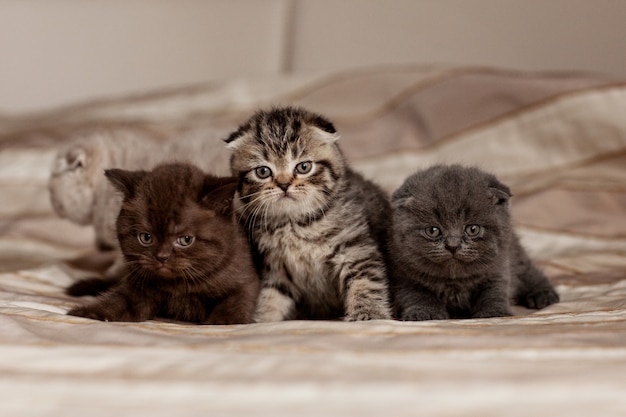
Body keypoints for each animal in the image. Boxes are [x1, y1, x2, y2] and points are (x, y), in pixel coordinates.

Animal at [66, 161, 256, 324]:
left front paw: (221, 321)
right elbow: (117, 302)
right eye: (146, 237)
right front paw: (89, 313)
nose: (162, 257)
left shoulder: (244, 281)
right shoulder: (137, 287)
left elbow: (233, 303)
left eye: (185, 240)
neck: (177, 286)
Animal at [224, 105, 390, 320]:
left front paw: (368, 314)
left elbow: (365, 282)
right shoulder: (277, 267)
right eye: (263, 172)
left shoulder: (354, 247)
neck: (294, 223)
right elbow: (272, 295)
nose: (284, 184)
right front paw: (263, 319)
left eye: (303, 167)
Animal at [388, 164, 560, 320]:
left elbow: (494, 292)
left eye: (472, 229)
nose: (453, 245)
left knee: (529, 271)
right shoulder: (404, 274)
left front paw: (493, 313)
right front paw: (425, 313)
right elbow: (417, 295)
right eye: (433, 230)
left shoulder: (498, 268)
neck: (455, 280)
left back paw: (543, 295)